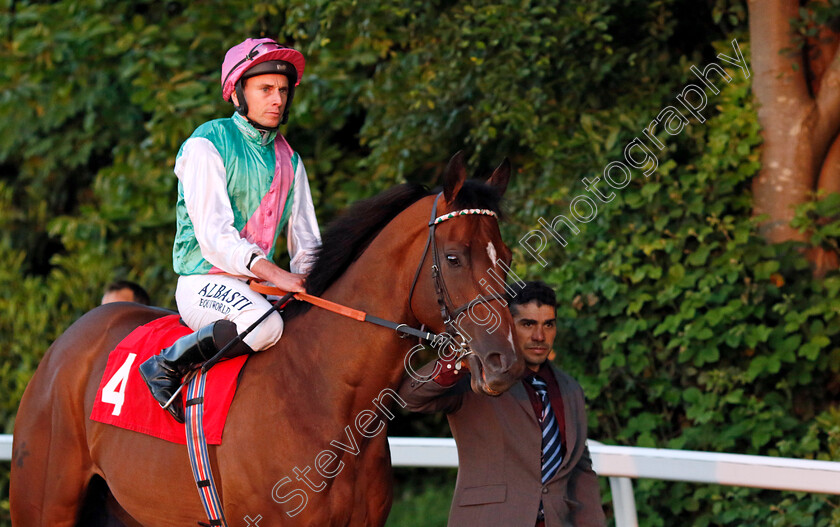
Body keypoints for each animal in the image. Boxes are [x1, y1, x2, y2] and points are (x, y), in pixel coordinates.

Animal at [9, 151, 524, 524]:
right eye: (454, 257)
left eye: (506, 256)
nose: (506, 361)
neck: (325, 394)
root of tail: (66, 344)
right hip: (42, 504)